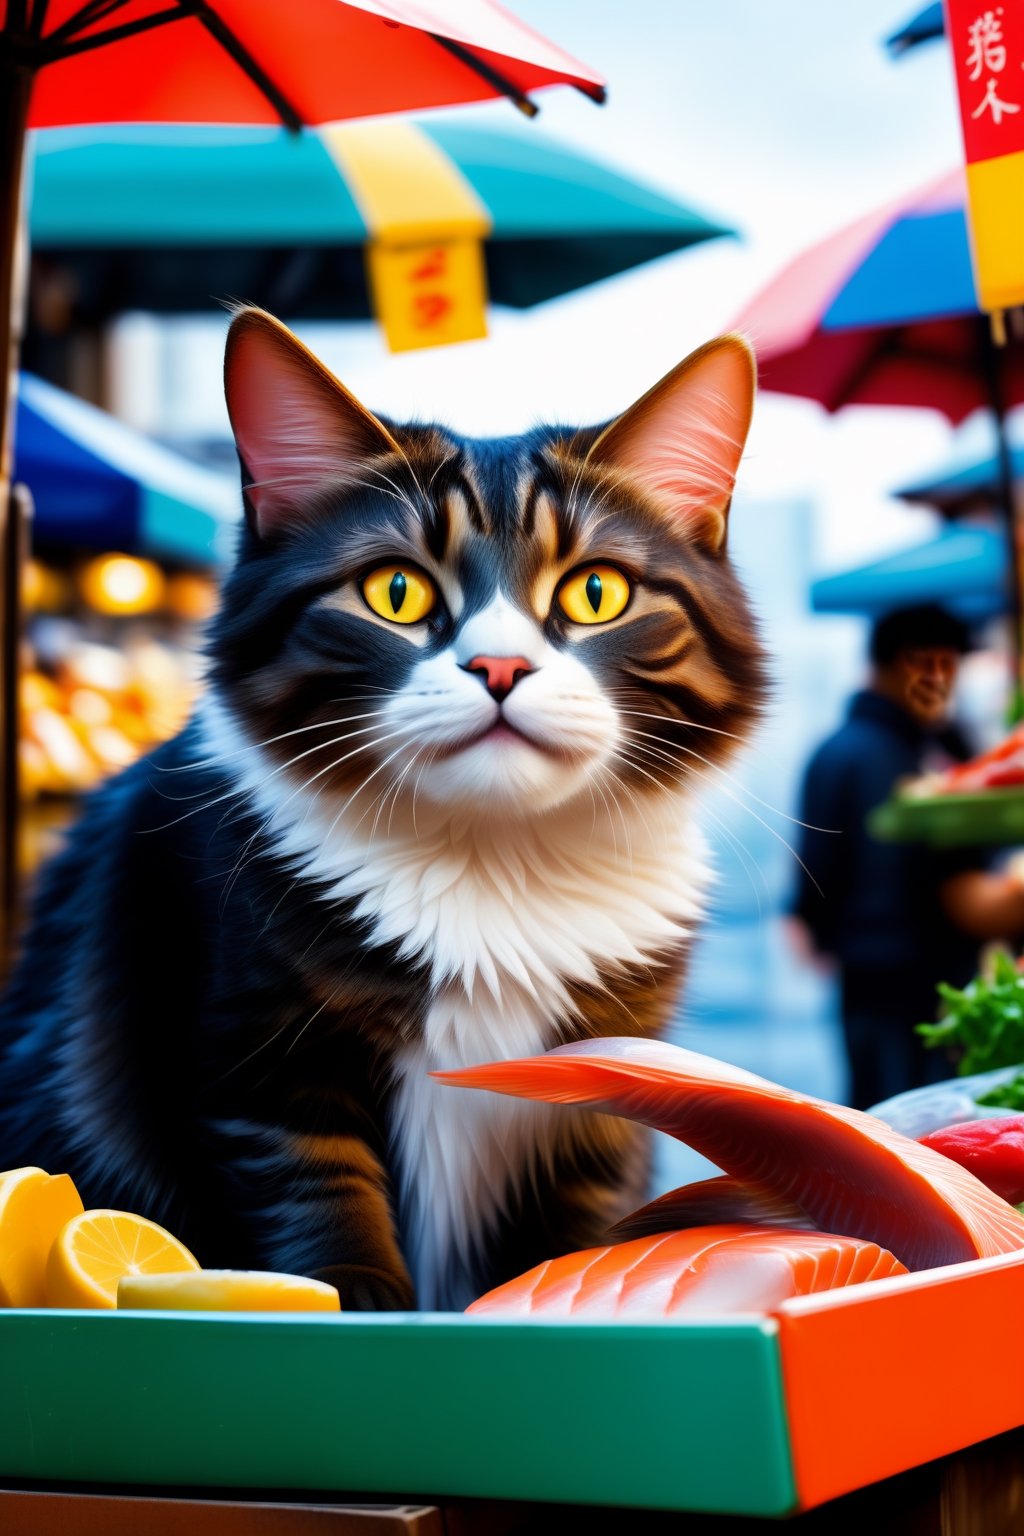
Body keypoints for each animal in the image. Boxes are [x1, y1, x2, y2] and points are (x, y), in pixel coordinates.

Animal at [0, 308, 767, 1308]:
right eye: (395, 592)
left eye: (595, 592)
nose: (499, 667)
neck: (494, 870)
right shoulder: (263, 1072)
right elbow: (324, 1221)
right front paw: (353, 1300)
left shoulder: (601, 1108)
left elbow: (573, 1249)